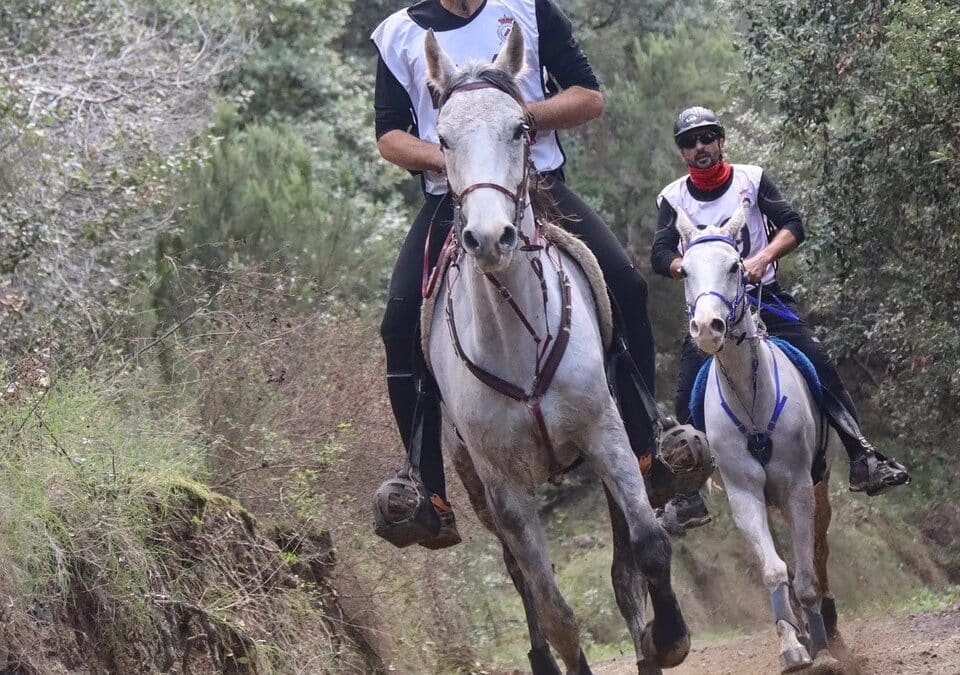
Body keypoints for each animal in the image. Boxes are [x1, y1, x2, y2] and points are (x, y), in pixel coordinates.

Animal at [424, 29, 688, 675]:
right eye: (442, 139)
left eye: (521, 128)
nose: (490, 239)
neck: (516, 338)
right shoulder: (505, 490)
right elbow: (555, 610)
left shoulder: (605, 435)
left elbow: (646, 547)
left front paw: (667, 639)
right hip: (478, 493)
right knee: (522, 580)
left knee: (623, 571)